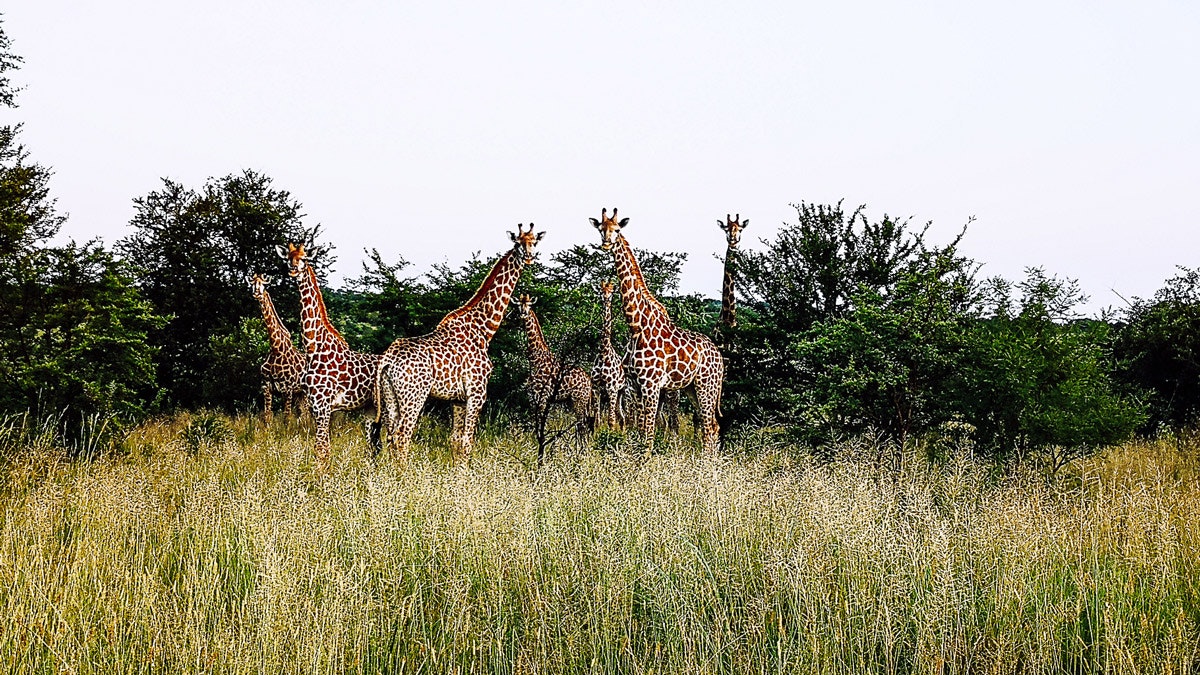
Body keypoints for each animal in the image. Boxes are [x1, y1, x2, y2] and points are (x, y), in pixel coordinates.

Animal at [248, 274, 306, 421]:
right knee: (302, 413)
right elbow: (268, 415)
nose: (256, 294)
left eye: (263, 286)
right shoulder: (266, 386)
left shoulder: (288, 388)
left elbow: (287, 416)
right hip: (300, 394)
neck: (276, 348)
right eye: (253, 284)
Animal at [283, 243, 382, 467]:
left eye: (304, 258)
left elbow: (322, 450)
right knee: (375, 447)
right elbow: (322, 449)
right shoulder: (314, 406)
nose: (293, 269)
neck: (313, 348)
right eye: (288, 257)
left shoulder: (323, 405)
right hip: (371, 410)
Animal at [373, 224, 542, 463]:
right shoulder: (477, 392)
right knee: (402, 436)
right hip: (414, 396)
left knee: (388, 437)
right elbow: (467, 442)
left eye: (534, 242)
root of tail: (387, 361)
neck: (484, 329)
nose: (528, 257)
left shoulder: (458, 399)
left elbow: (455, 441)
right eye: (518, 243)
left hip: (390, 395)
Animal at [516, 294, 594, 441]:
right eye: (518, 305)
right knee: (582, 424)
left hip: (579, 400)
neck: (535, 359)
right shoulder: (532, 396)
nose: (523, 314)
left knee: (582, 425)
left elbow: (541, 422)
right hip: (573, 401)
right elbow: (535, 422)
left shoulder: (542, 396)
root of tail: (589, 382)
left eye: (529, 305)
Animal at [590, 208, 724, 454]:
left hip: (706, 385)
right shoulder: (635, 385)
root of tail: (719, 357)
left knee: (710, 425)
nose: (606, 243)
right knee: (710, 426)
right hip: (691, 388)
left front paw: (646, 463)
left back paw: (708, 463)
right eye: (600, 229)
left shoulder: (651, 384)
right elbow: (641, 428)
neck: (636, 326)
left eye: (618, 229)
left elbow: (649, 432)